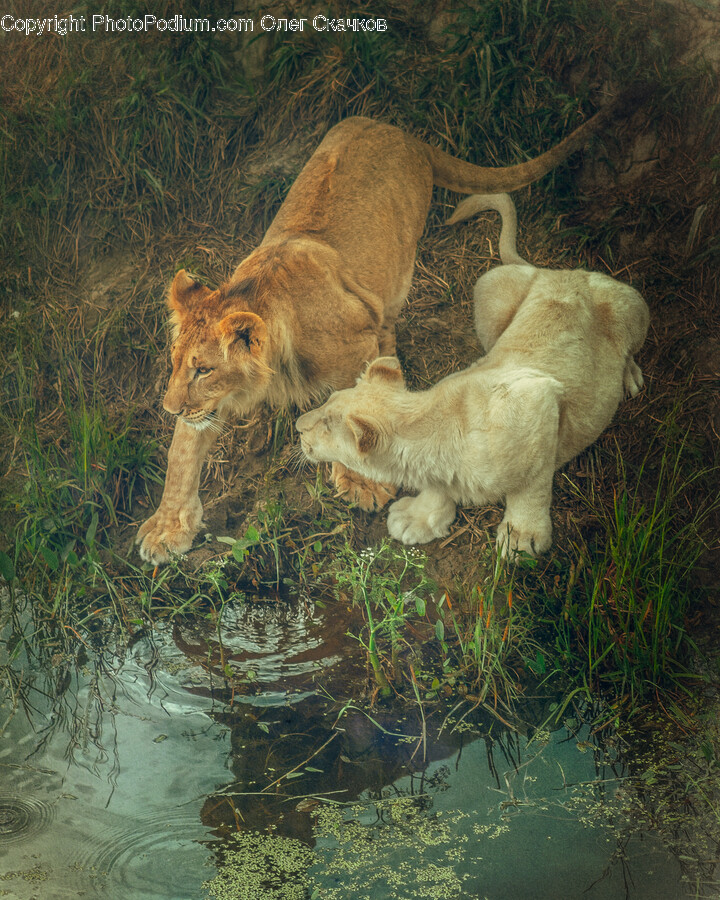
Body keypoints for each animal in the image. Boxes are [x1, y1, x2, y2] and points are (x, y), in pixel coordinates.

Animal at [295, 192, 649, 557]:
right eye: (326, 404)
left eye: (326, 425)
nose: (297, 426)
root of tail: (556, 271)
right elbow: (437, 493)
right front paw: (416, 520)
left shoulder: (538, 400)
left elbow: (533, 482)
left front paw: (521, 537)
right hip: (489, 293)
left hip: (630, 303)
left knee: (630, 346)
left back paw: (629, 377)